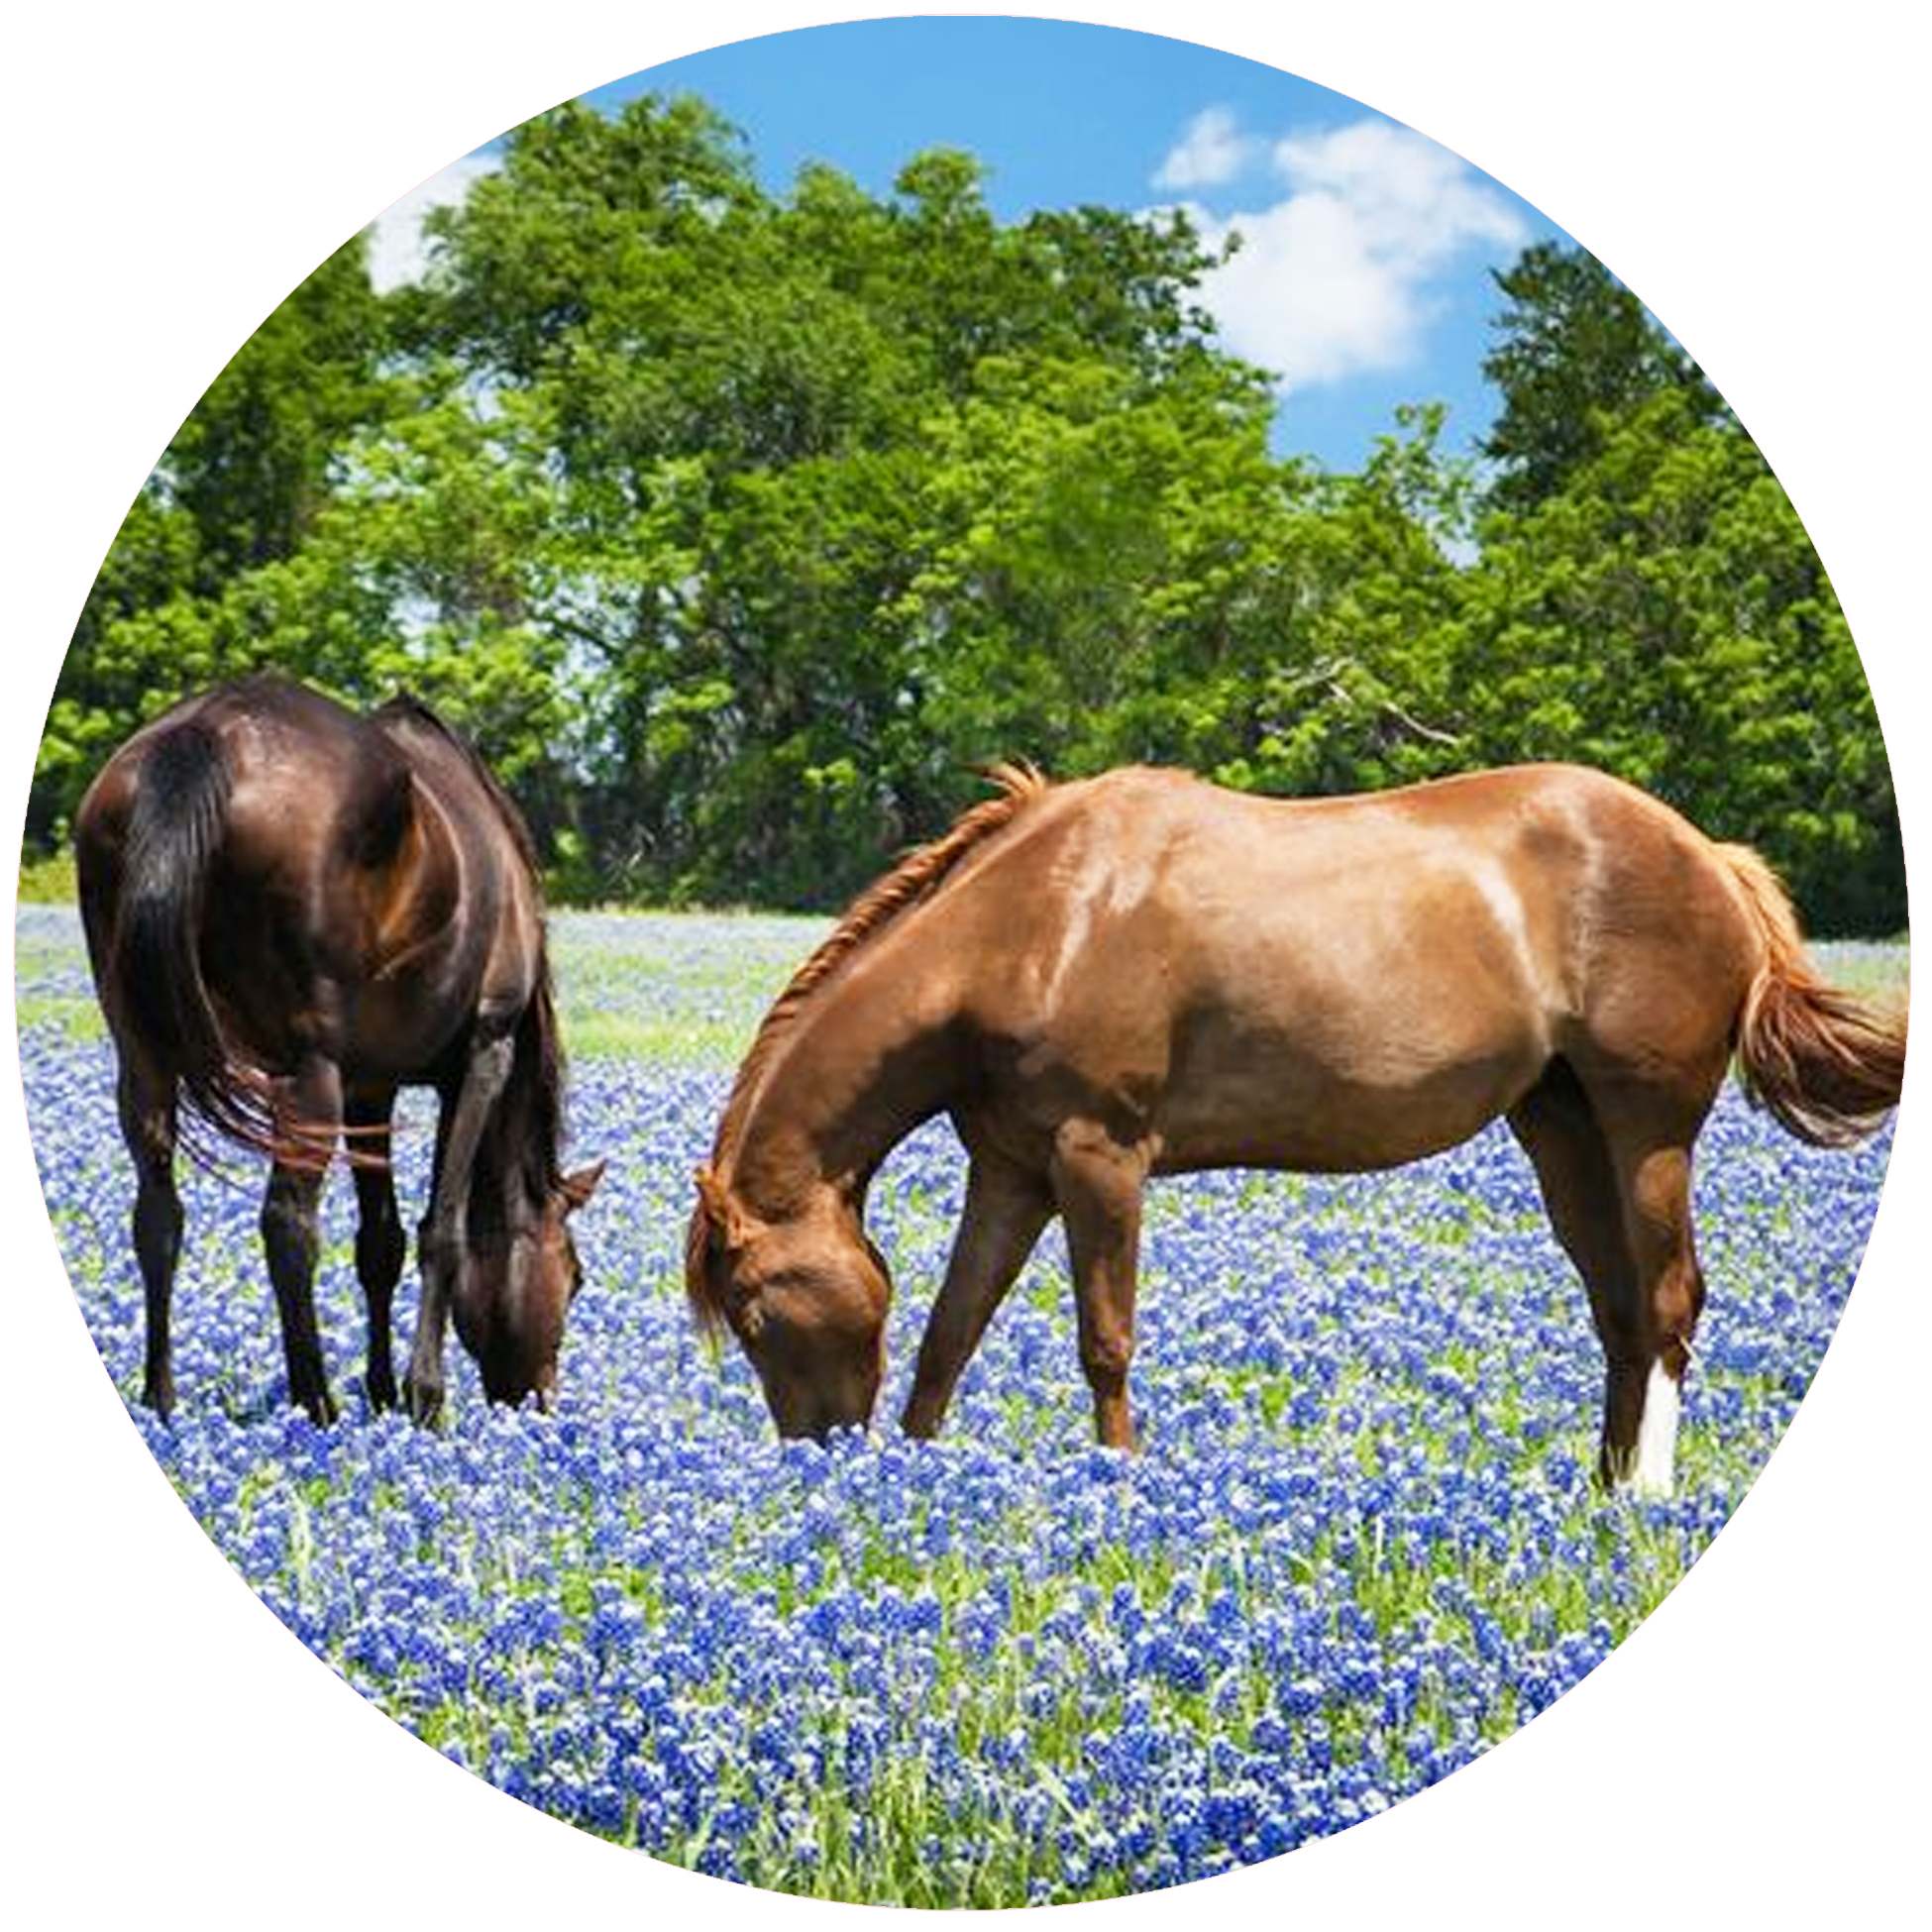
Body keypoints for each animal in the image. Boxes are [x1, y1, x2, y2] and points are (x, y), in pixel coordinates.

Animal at [74, 673, 603, 1423]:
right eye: (576, 1276)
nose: (539, 1400)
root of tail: (206, 732)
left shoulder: (370, 1085)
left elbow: (379, 1242)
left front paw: (381, 1391)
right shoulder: (484, 1050)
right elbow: (442, 1229)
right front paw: (423, 1397)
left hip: (143, 1053)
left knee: (157, 1216)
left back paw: (161, 1399)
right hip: (307, 1067)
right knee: (287, 1224)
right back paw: (314, 1400)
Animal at [686, 761, 1905, 1494]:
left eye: (751, 1310)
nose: (817, 1462)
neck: (1033, 926)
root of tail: (1711, 855)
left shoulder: (1100, 1158)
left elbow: (1104, 1340)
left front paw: (1119, 1481)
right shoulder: (1012, 1170)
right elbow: (950, 1331)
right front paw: (919, 1483)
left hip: (1649, 1128)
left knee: (1667, 1301)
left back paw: (1645, 1490)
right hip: (1561, 1126)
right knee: (1616, 1309)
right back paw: (1597, 1490)